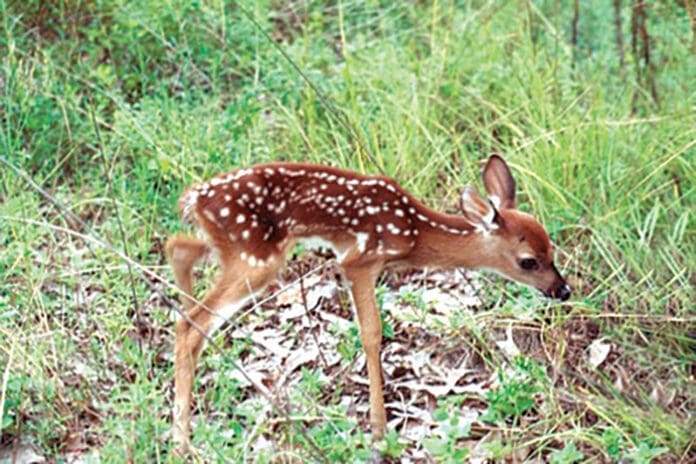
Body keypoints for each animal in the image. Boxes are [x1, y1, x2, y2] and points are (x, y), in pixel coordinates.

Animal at [165, 154, 571, 454]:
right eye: (528, 261)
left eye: (551, 249)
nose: (563, 291)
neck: (415, 232)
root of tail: (194, 197)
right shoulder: (360, 261)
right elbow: (372, 334)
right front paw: (378, 427)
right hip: (256, 256)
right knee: (189, 323)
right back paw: (181, 443)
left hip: (235, 249)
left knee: (178, 248)